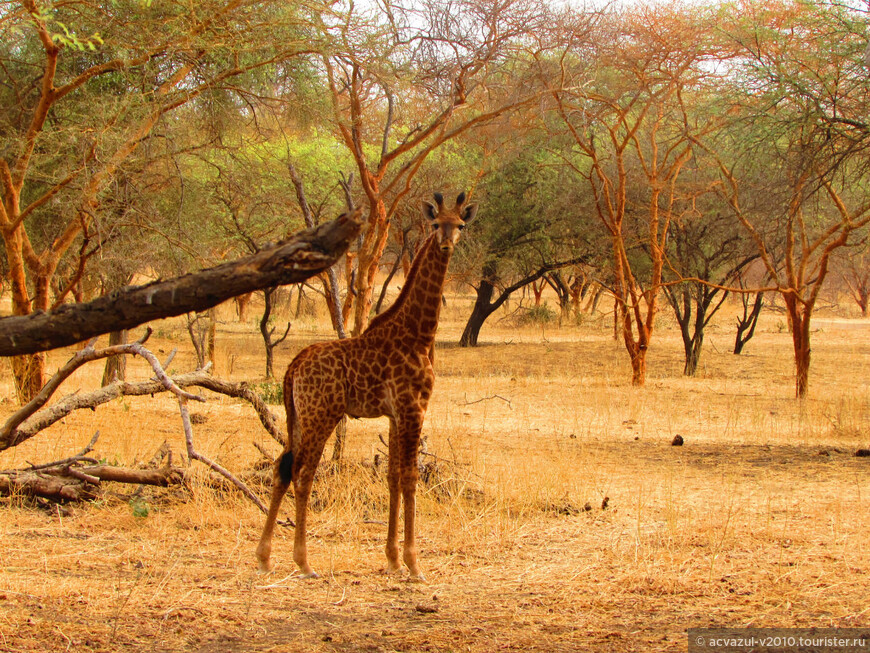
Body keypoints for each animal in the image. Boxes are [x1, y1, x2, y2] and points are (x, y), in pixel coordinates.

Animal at [255, 191, 480, 580]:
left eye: (461, 225)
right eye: (437, 223)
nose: (447, 244)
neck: (419, 334)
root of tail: (292, 367)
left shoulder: (394, 414)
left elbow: (391, 477)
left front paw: (392, 558)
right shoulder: (413, 407)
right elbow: (410, 476)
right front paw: (414, 563)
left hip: (296, 415)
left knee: (282, 467)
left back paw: (266, 557)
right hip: (321, 415)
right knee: (303, 472)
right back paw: (304, 562)